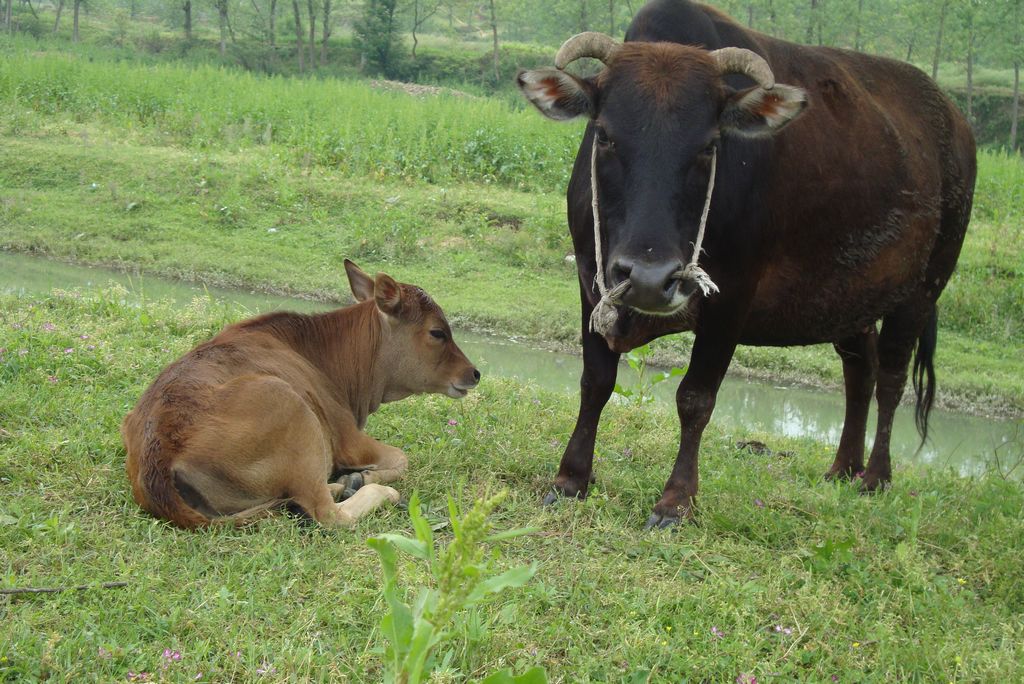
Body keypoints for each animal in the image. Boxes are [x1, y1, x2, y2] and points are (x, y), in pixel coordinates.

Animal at [121, 260, 481, 528]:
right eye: (437, 332)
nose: (475, 373)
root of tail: (158, 455)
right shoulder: (349, 438)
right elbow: (402, 458)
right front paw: (363, 475)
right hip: (289, 406)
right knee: (328, 514)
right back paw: (367, 489)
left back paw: (340, 484)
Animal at [520, 0, 974, 528]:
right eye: (606, 135)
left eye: (709, 145)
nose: (650, 280)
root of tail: (957, 124)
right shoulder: (591, 284)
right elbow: (595, 382)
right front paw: (570, 479)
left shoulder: (731, 299)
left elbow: (695, 398)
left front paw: (676, 500)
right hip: (850, 302)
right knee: (860, 372)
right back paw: (843, 467)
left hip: (922, 290)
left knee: (891, 378)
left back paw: (875, 476)